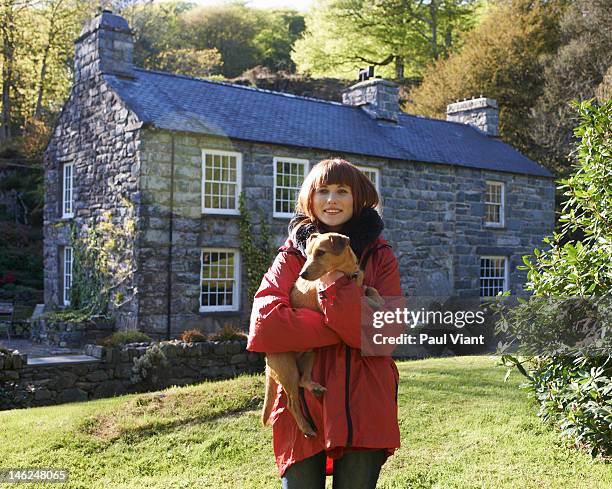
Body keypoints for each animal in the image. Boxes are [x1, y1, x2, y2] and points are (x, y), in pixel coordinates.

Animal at [262, 231, 382, 436]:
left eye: (320, 252)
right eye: (308, 254)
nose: (302, 274)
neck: (346, 274)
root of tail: (267, 361)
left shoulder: (361, 284)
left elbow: (369, 288)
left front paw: (378, 299)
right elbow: (362, 299)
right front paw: (373, 303)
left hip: (310, 355)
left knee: (303, 380)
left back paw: (315, 388)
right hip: (288, 370)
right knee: (292, 403)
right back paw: (306, 428)